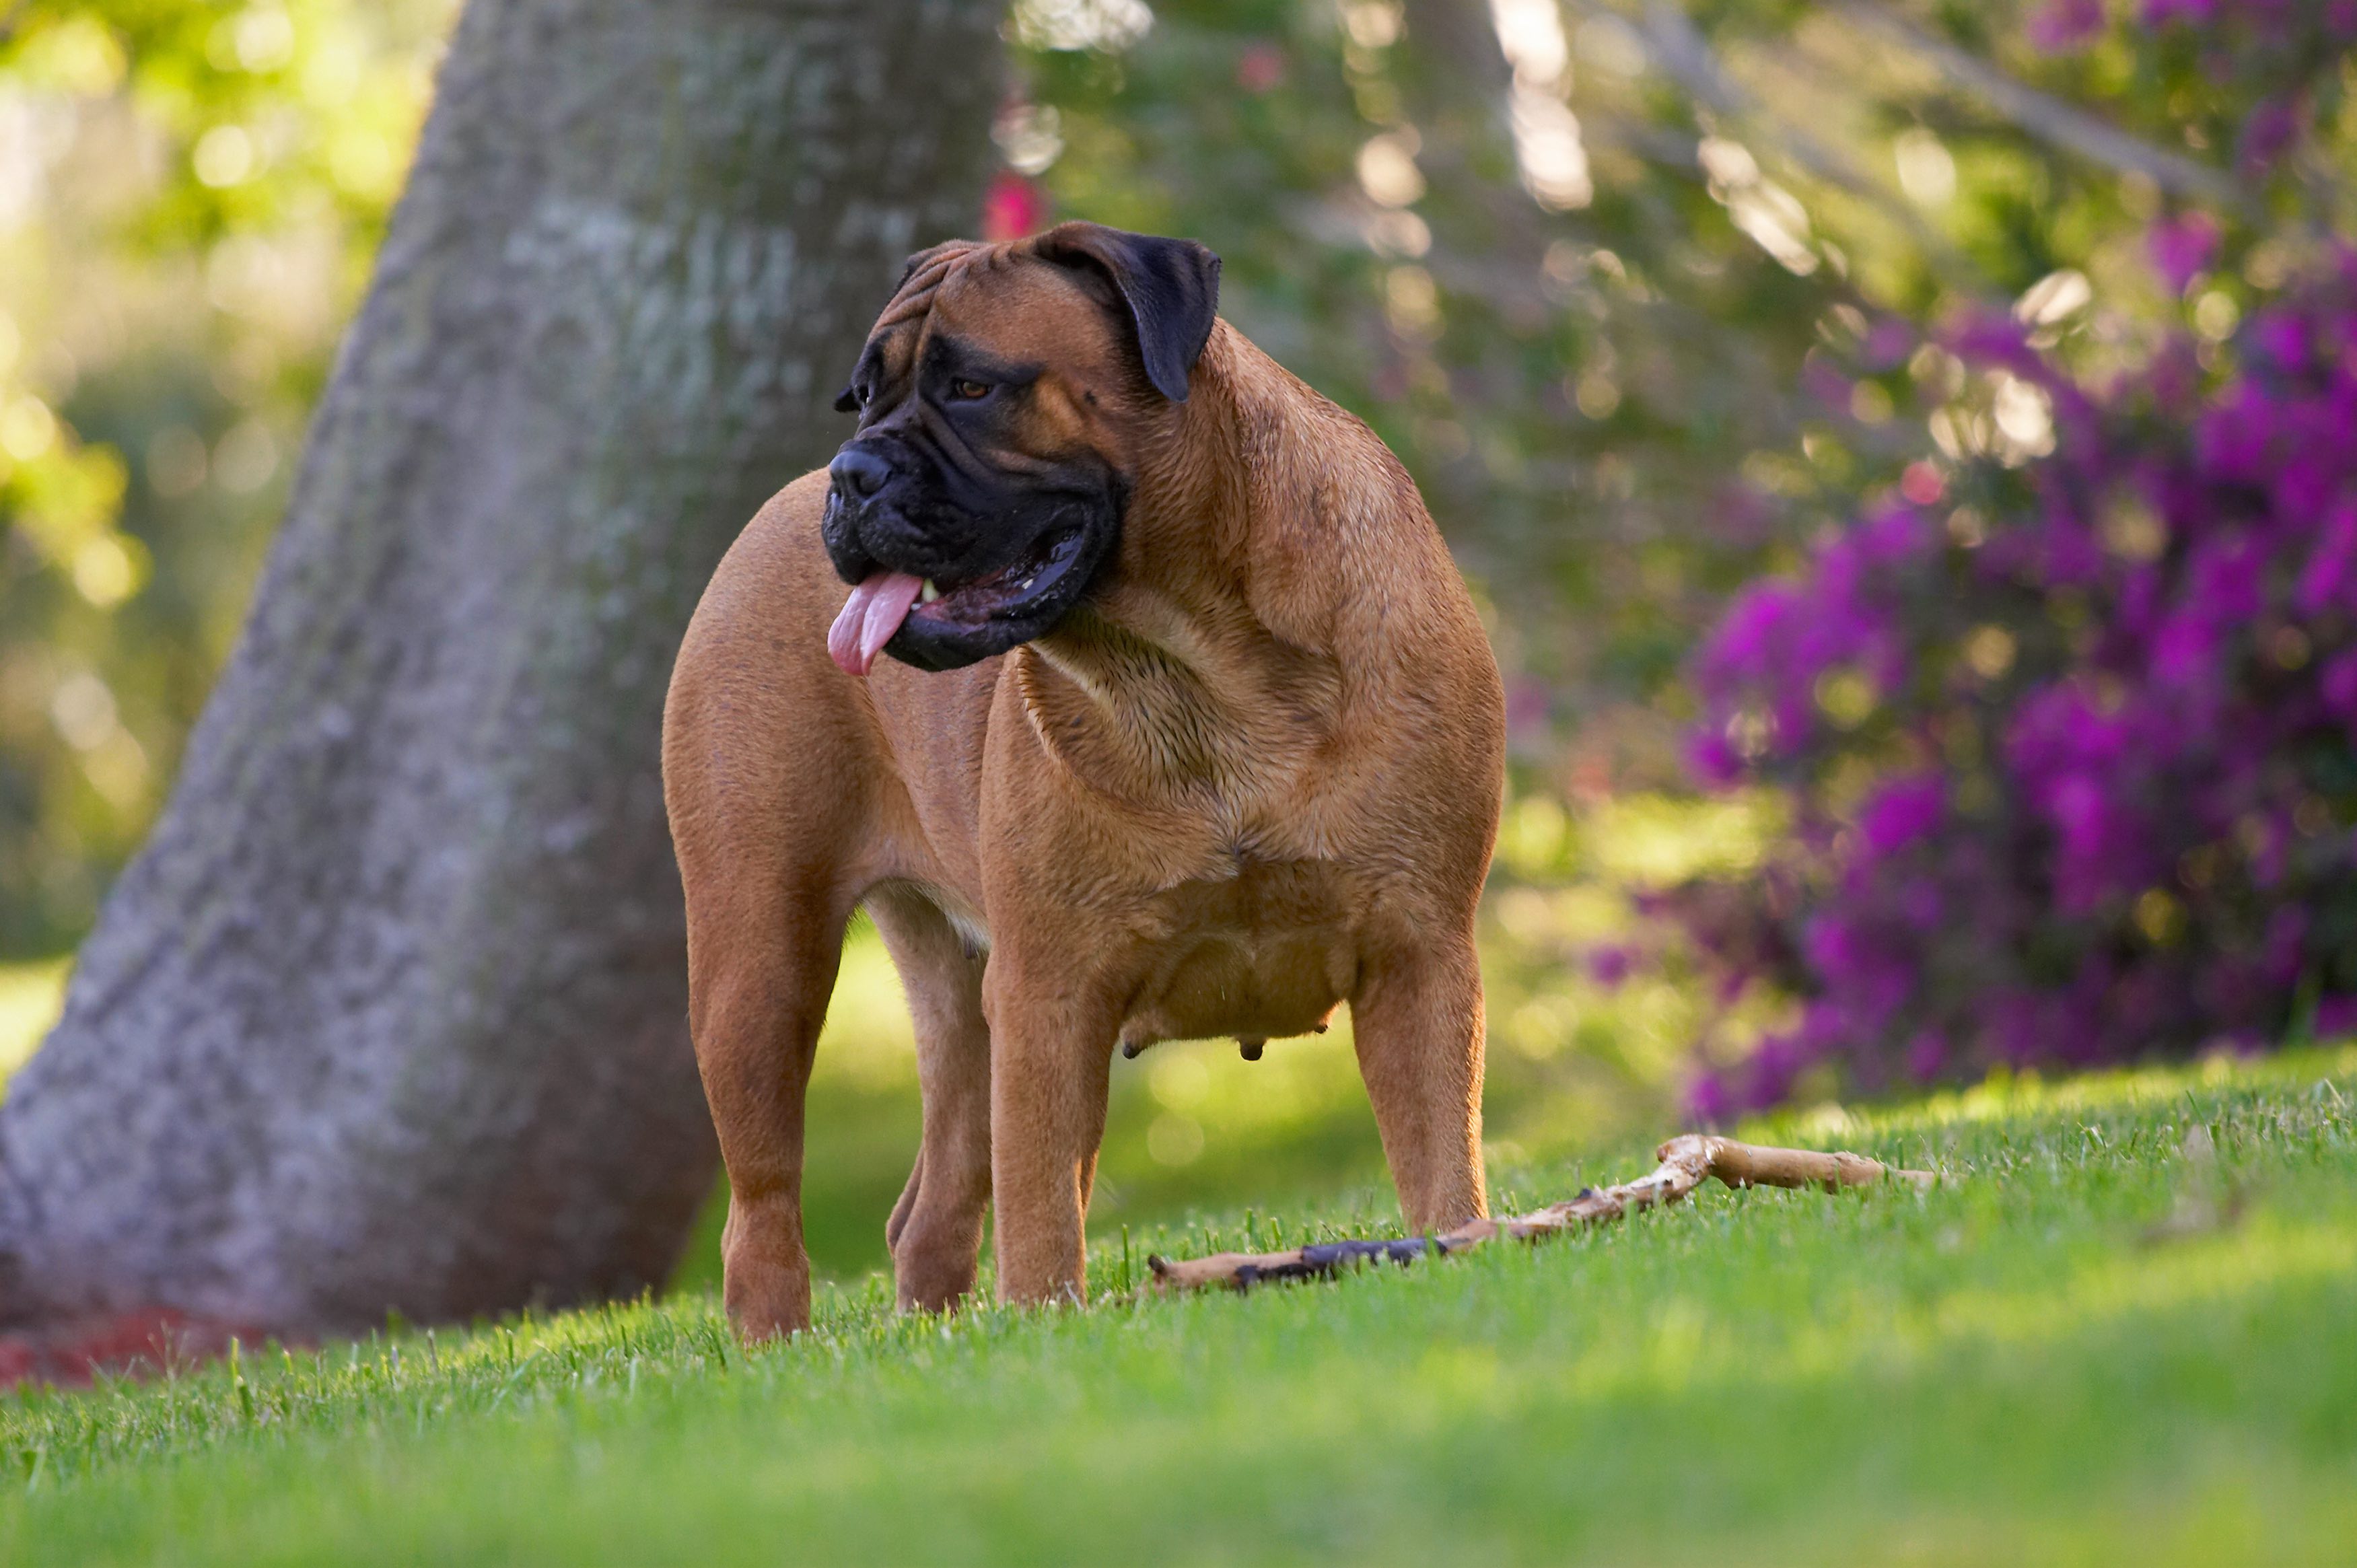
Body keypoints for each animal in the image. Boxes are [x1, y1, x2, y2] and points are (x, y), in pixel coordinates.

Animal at [660, 226, 1508, 1339]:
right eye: (865, 396)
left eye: (973, 385)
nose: (853, 472)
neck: (1200, 664)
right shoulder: (1049, 990)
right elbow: (1038, 1201)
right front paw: (1041, 1320)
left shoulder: (1417, 952)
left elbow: (1438, 1159)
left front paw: (1453, 1248)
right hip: (761, 957)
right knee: (763, 1206)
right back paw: (780, 1345)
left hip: (956, 1005)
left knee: (932, 1201)